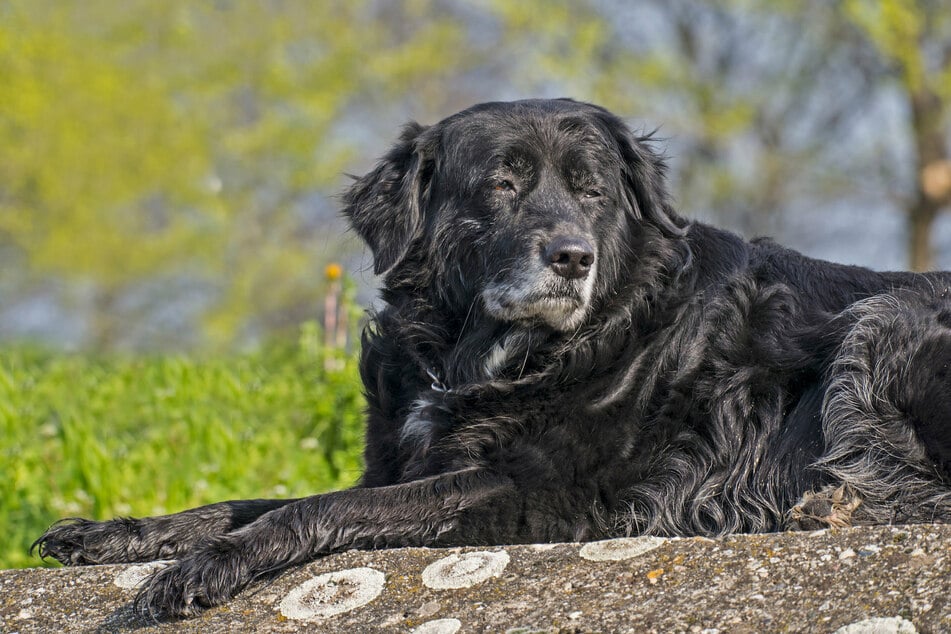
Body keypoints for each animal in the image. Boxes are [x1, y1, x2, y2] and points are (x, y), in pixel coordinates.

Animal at [33, 99, 948, 616]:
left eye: (590, 187)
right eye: (502, 184)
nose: (573, 257)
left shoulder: (528, 493)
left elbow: (311, 510)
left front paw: (208, 568)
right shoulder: (399, 467)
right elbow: (240, 503)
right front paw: (113, 534)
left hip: (881, 321)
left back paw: (824, 509)